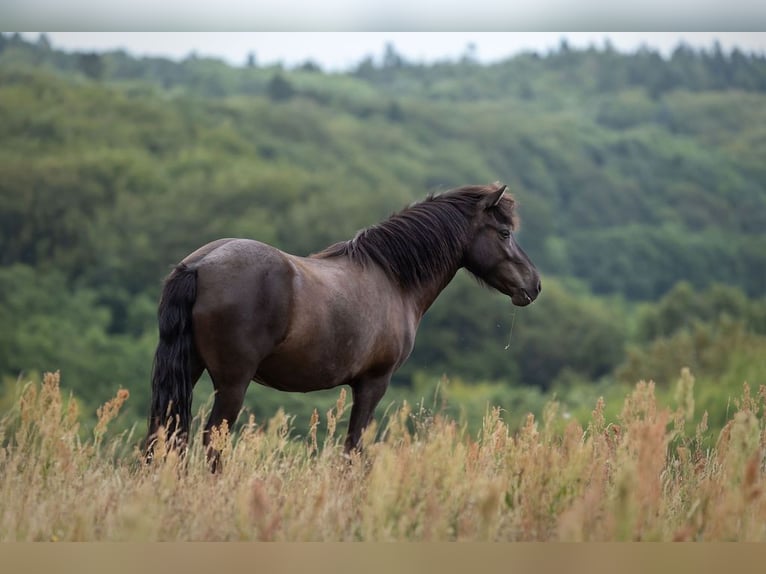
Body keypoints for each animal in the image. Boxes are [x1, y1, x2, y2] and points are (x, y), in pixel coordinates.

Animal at [145, 182, 541, 463]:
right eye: (504, 233)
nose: (534, 284)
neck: (392, 278)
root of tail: (199, 265)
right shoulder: (373, 383)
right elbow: (354, 449)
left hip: (191, 369)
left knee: (167, 434)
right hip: (232, 382)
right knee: (212, 440)